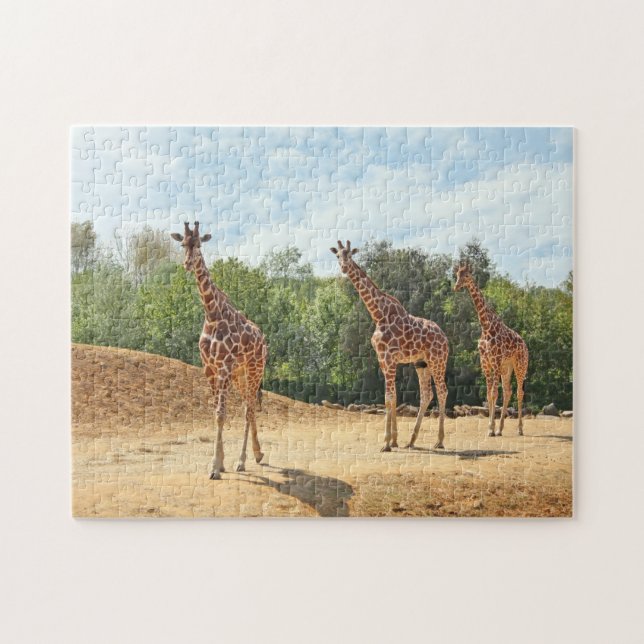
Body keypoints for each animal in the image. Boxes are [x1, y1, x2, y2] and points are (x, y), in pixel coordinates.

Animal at [171, 222, 267, 479]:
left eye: (199, 244)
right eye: (183, 244)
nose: (187, 264)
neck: (212, 314)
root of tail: (263, 339)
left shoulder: (223, 367)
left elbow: (221, 414)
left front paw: (215, 467)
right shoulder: (209, 368)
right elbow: (216, 411)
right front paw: (220, 463)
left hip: (255, 370)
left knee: (248, 409)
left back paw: (243, 461)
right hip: (240, 375)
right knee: (248, 406)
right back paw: (257, 454)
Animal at [330, 241, 450, 451]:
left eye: (350, 256)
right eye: (338, 256)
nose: (344, 268)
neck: (378, 315)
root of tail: (445, 338)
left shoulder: (389, 358)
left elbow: (388, 397)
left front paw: (386, 443)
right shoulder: (383, 360)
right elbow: (392, 398)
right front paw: (394, 440)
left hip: (438, 361)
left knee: (442, 392)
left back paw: (439, 441)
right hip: (422, 363)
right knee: (426, 394)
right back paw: (411, 440)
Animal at [454, 263, 528, 437]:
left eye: (467, 275)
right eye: (457, 274)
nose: (456, 286)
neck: (486, 326)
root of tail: (525, 345)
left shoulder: (495, 361)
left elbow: (494, 393)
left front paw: (491, 429)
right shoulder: (485, 362)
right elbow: (489, 395)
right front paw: (491, 428)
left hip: (520, 365)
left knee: (519, 392)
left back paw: (520, 429)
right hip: (507, 367)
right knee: (508, 391)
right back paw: (501, 429)